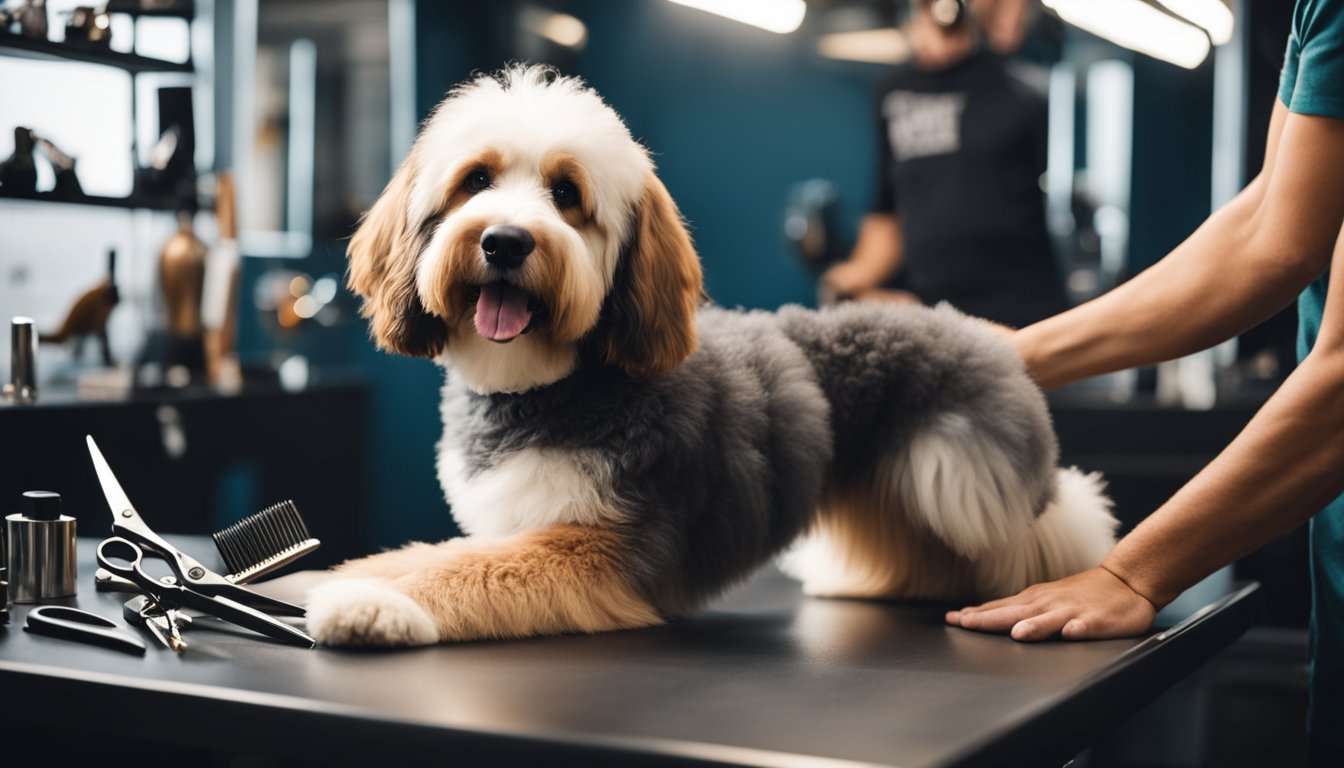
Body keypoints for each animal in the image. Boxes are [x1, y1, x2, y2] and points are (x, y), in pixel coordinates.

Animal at [305, 66, 1112, 645]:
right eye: (475, 179)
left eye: (566, 193)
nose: (505, 240)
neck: (555, 383)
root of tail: (978, 331)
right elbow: (420, 554)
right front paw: (344, 579)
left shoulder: (603, 544)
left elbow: (462, 571)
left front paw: (367, 604)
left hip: (961, 474)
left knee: (1050, 520)